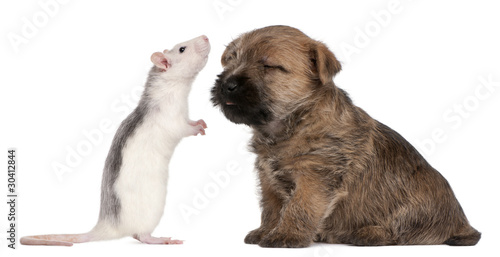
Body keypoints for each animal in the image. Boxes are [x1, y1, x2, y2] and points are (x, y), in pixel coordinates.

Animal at [209, 25, 478, 247]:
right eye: (230, 61)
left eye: (269, 66)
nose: (227, 84)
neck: (291, 125)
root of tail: (462, 222)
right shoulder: (267, 177)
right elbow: (271, 207)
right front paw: (266, 231)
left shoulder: (316, 176)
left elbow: (300, 206)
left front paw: (286, 235)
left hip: (415, 204)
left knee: (403, 232)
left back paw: (366, 233)